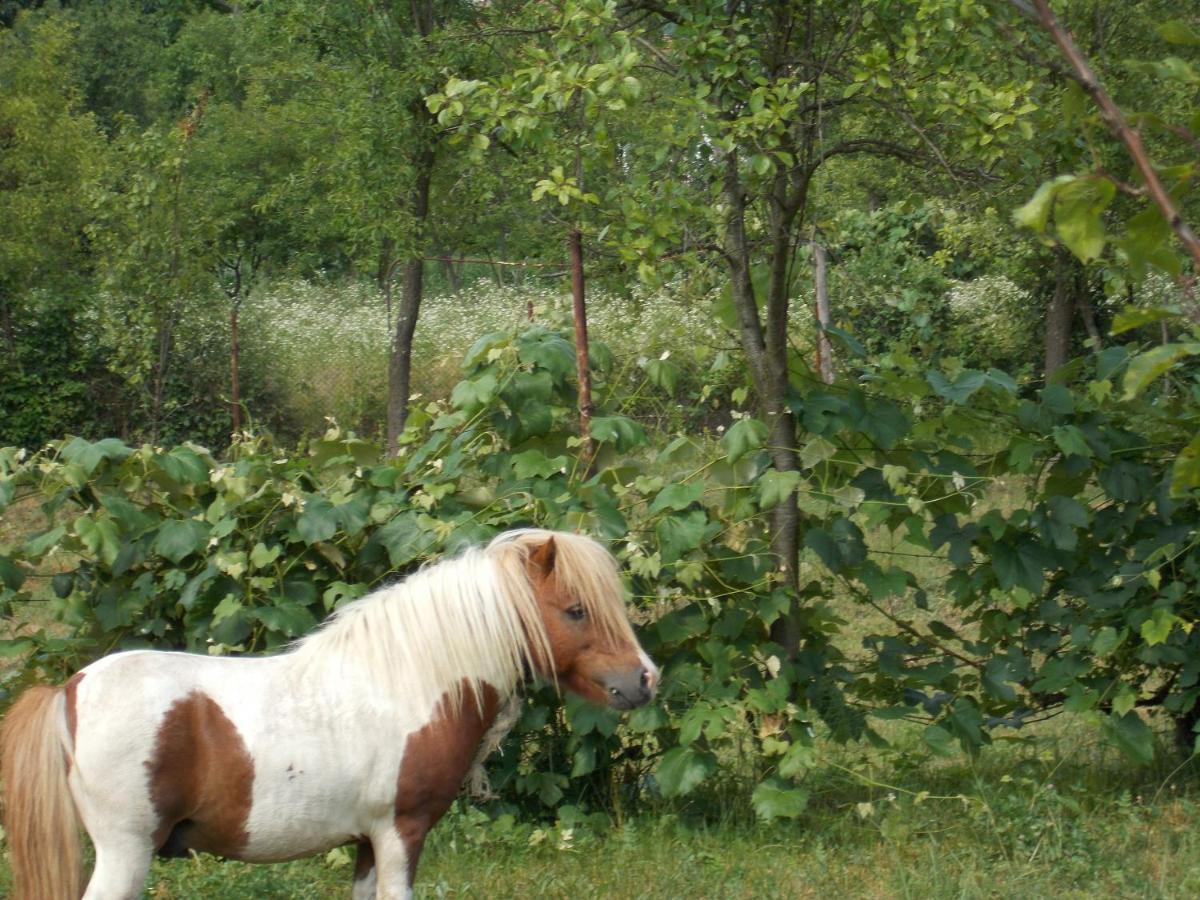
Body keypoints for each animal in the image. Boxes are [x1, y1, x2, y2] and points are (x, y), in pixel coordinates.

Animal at [0, 528, 657, 900]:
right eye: (575, 610)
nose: (645, 680)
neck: (410, 681)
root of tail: (70, 690)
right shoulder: (401, 833)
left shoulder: (367, 841)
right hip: (125, 852)